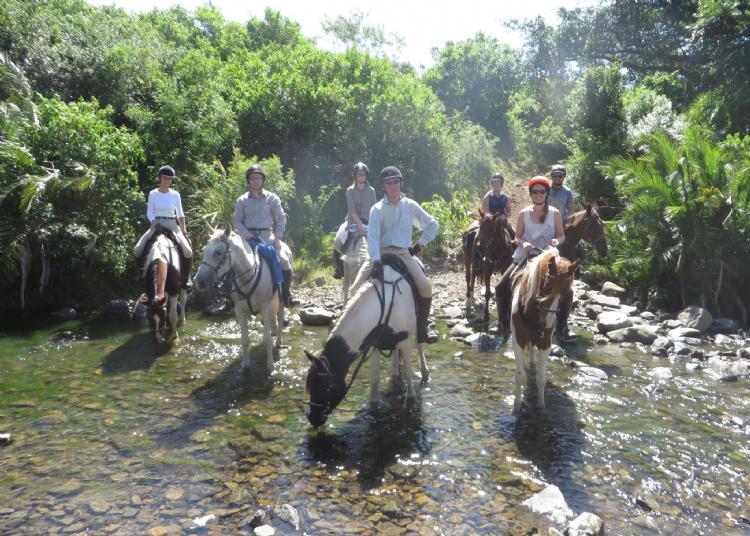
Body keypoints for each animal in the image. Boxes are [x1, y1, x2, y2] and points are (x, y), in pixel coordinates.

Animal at [194, 227, 288, 372]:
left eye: (218, 252)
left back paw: (278, 341)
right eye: (204, 250)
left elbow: (266, 339)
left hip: (281, 300)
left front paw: (271, 366)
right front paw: (245, 364)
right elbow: (244, 340)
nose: (199, 281)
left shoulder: (265, 307)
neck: (248, 275)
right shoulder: (240, 310)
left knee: (280, 317)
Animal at [306, 260, 432, 428]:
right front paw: (373, 406)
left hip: (418, 323)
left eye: (325, 387)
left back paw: (424, 372)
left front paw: (411, 401)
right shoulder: (375, 344)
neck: (386, 306)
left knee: (419, 343)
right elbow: (374, 378)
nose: (312, 418)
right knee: (395, 355)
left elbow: (407, 373)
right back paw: (394, 374)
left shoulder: (405, 341)